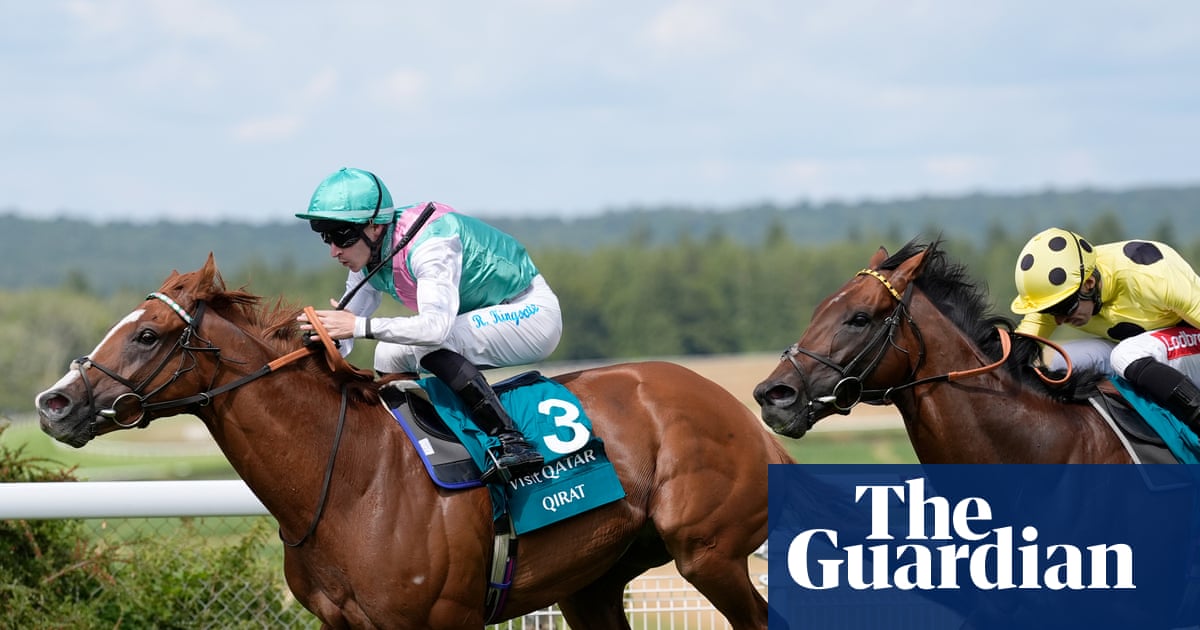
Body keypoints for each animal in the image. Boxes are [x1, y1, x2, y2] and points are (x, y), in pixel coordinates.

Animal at [35, 255, 793, 629]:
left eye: (147, 334)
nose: (54, 403)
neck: (349, 478)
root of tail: (741, 416)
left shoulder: (442, 621)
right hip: (595, 582)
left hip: (710, 553)